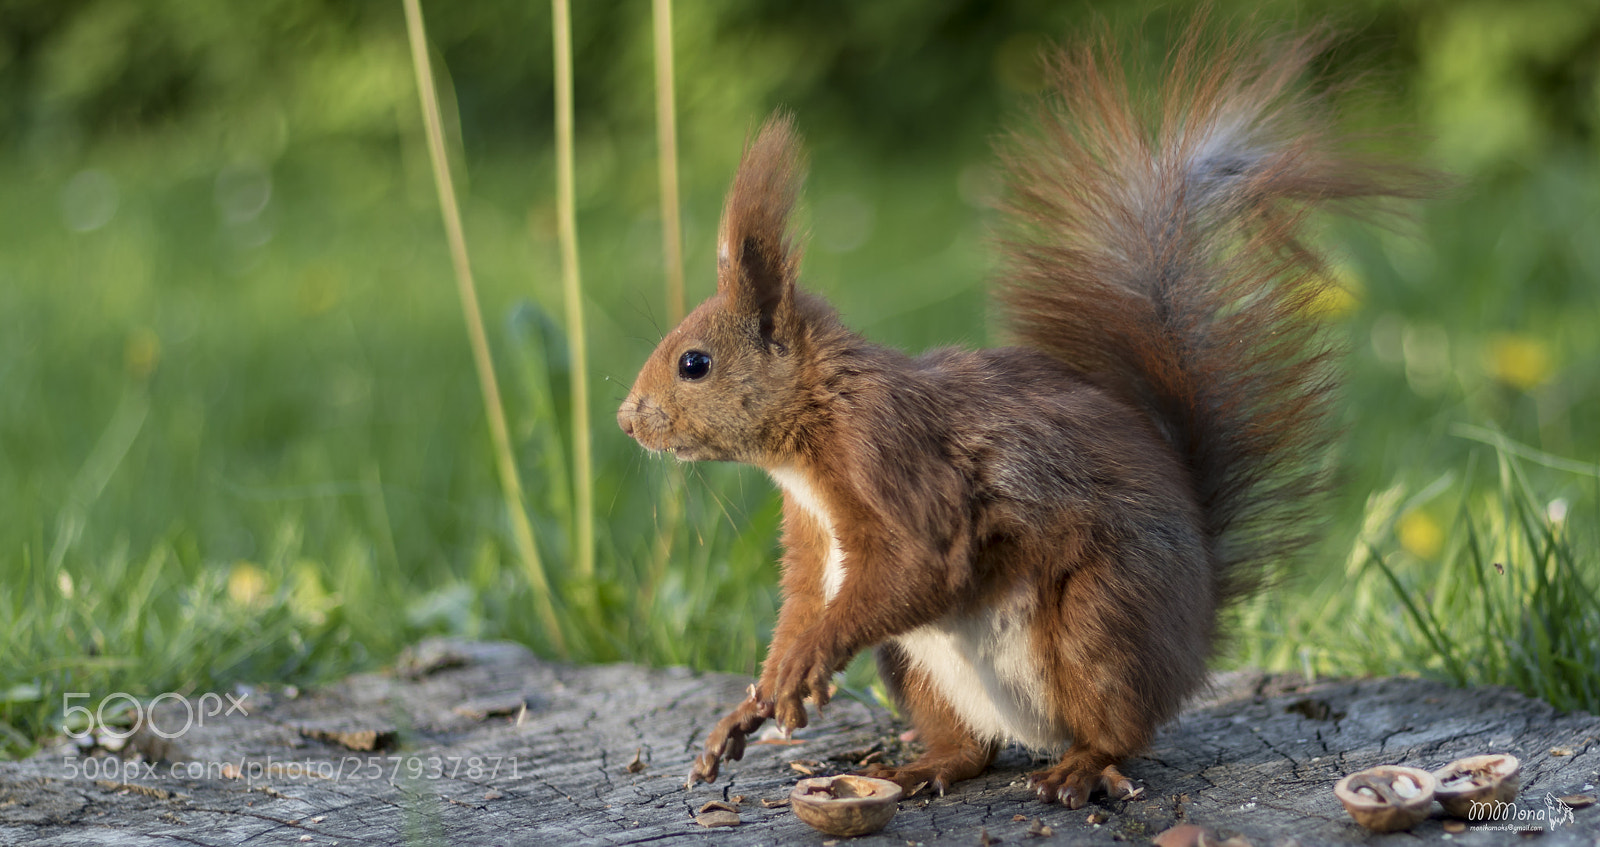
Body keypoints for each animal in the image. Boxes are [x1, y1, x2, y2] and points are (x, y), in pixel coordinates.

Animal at [618, 23, 1424, 808]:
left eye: (694, 363)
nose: (627, 421)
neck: (813, 429)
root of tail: (1195, 633)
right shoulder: (816, 537)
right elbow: (801, 603)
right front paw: (752, 702)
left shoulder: (892, 451)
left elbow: (920, 561)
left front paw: (804, 665)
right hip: (915, 663)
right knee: (973, 751)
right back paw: (922, 766)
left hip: (1102, 620)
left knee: (1119, 730)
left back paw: (1078, 769)